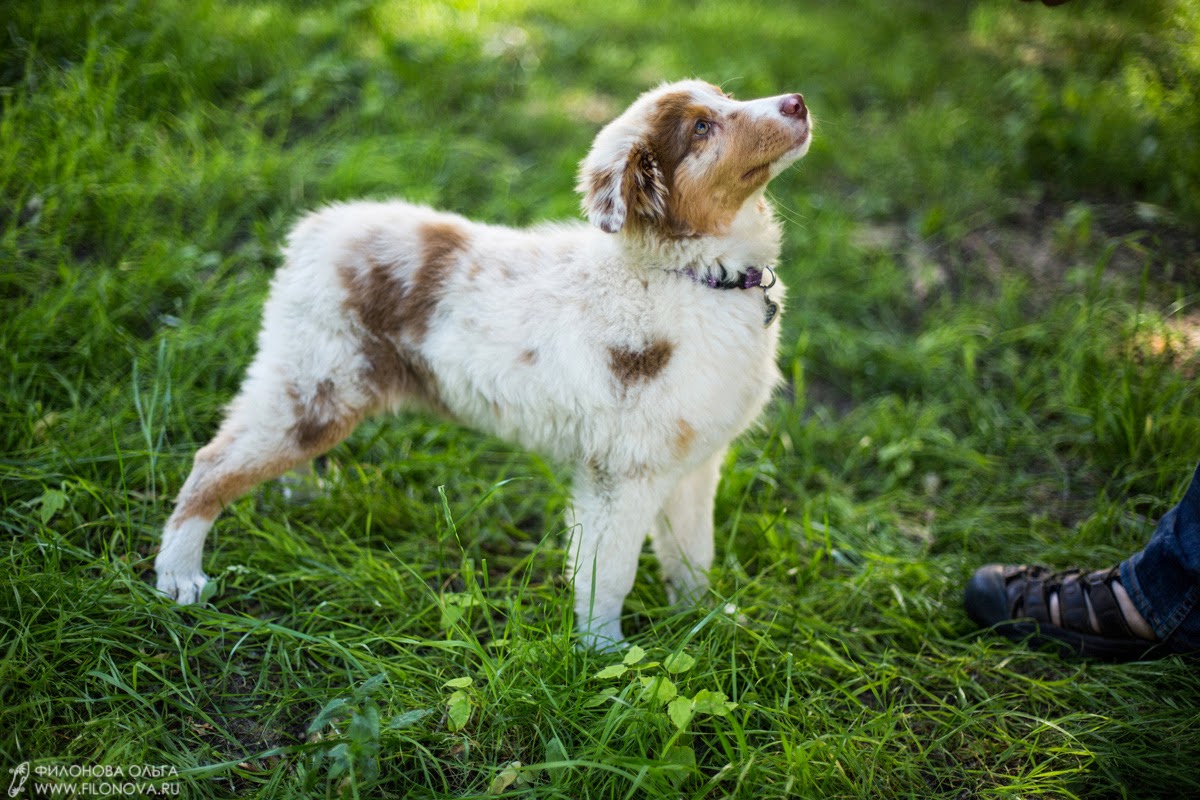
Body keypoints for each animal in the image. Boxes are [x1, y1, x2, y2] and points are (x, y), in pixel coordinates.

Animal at [154, 77, 811, 647]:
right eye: (701, 128)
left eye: (724, 96)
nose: (798, 102)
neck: (697, 276)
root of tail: (317, 229)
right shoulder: (620, 470)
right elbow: (608, 572)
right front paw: (604, 656)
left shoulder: (695, 459)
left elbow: (692, 553)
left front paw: (708, 623)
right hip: (318, 376)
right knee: (214, 462)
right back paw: (179, 575)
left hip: (315, 380)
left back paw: (304, 492)